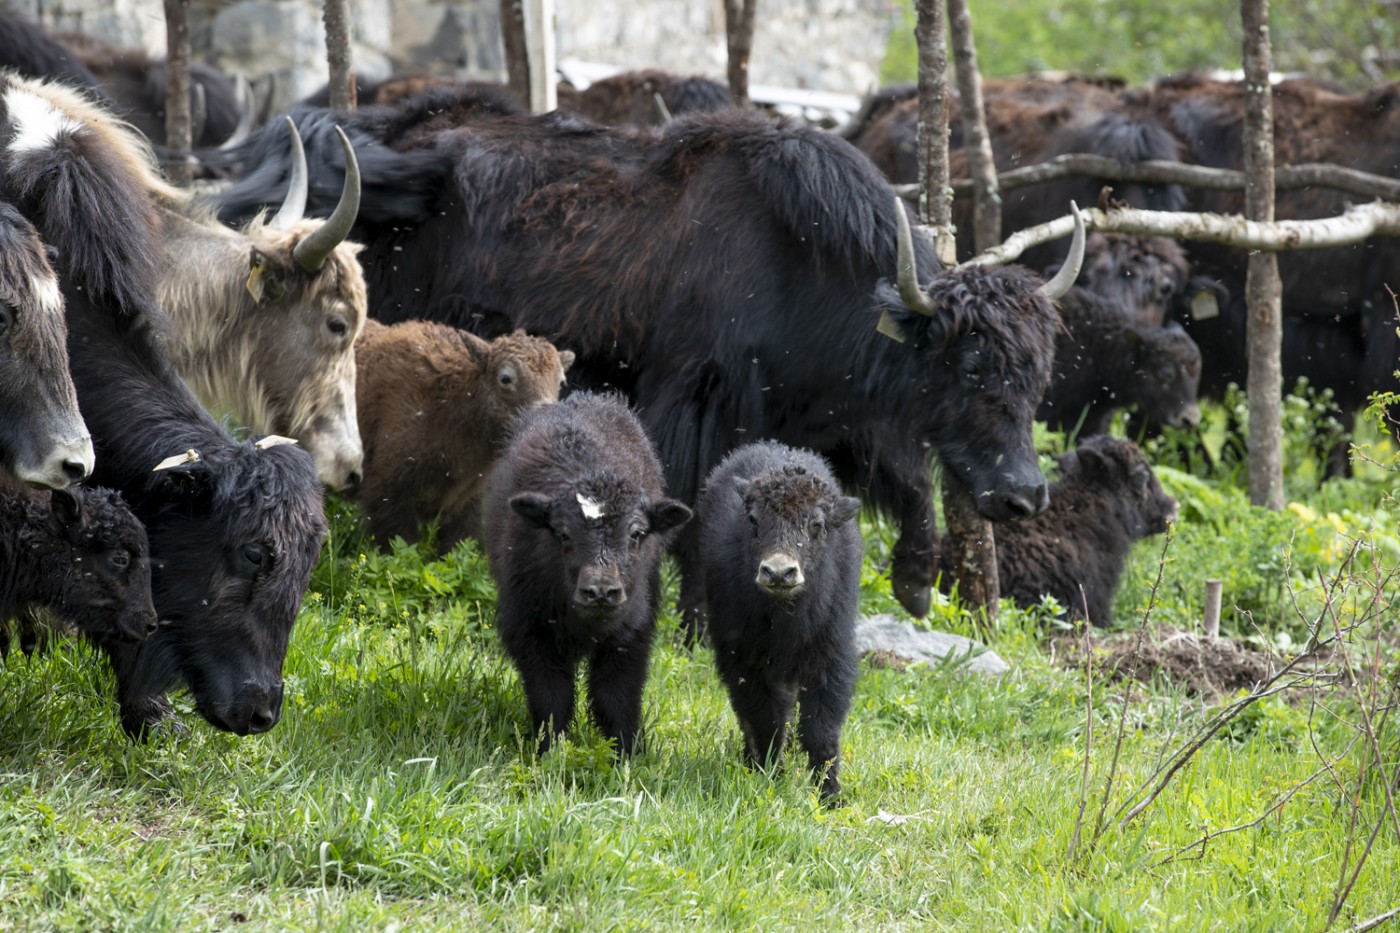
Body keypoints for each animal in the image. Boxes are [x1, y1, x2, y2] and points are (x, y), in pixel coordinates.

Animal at [484, 389, 691, 750]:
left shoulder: (630, 638)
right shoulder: (531, 633)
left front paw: (628, 750)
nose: (601, 592)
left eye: (637, 534)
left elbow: (615, 696)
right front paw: (549, 750)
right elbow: (552, 698)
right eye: (563, 533)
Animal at [697, 442, 862, 801]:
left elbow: (820, 729)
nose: (778, 571)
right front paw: (770, 777)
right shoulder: (743, 662)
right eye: (754, 520)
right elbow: (765, 721)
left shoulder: (831, 656)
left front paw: (830, 795)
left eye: (817, 524)